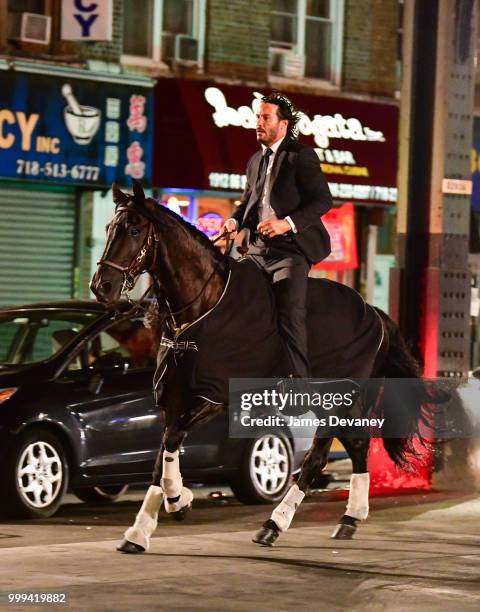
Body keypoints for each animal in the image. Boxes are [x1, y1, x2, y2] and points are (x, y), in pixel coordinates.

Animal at [90, 182, 438, 556]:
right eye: (109, 228)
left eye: (134, 230)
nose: (101, 286)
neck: (202, 304)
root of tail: (374, 312)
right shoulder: (174, 396)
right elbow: (163, 452)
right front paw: (141, 529)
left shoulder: (213, 397)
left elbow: (171, 441)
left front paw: (178, 500)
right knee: (355, 446)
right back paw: (343, 520)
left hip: (338, 398)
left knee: (320, 456)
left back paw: (280, 523)